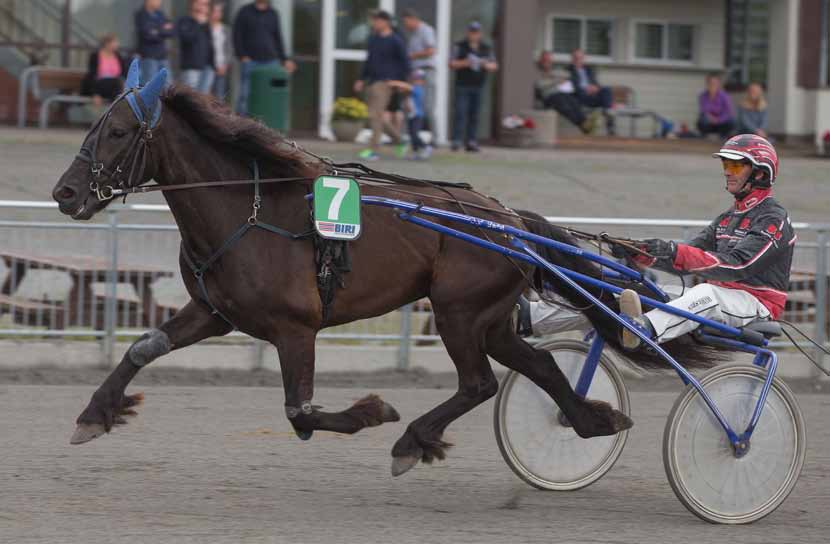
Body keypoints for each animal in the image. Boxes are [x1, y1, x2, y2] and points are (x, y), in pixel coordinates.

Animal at [52, 63, 720, 476]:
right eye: (93, 123)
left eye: (117, 130)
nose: (64, 193)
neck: (246, 209)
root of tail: (511, 220)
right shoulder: (215, 312)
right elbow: (143, 347)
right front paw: (95, 414)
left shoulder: (294, 328)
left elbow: (300, 411)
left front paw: (373, 411)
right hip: (489, 319)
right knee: (538, 367)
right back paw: (590, 419)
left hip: (457, 311)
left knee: (478, 383)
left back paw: (412, 439)